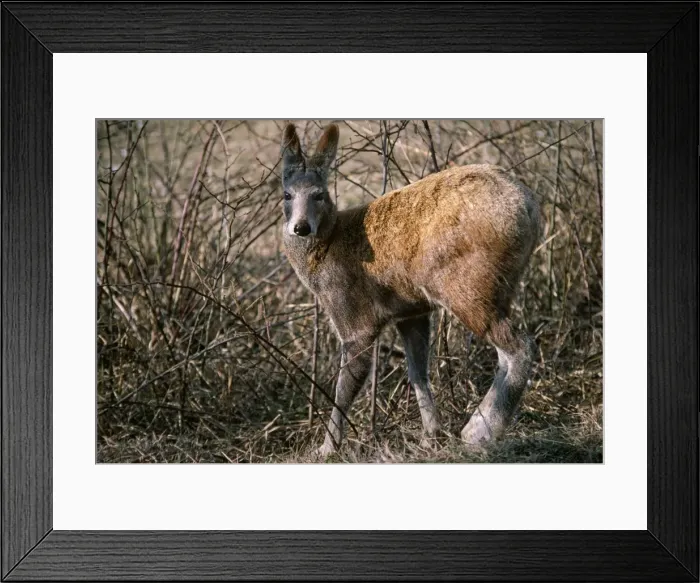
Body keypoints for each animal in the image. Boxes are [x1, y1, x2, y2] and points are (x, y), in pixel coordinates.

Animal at [280, 122, 541, 459]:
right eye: (287, 194)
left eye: (320, 194)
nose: (301, 227)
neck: (325, 249)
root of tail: (530, 207)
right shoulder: (410, 313)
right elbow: (418, 373)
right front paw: (431, 435)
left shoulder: (354, 319)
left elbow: (344, 388)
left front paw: (326, 449)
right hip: (502, 286)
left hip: (468, 286)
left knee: (519, 346)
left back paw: (479, 431)